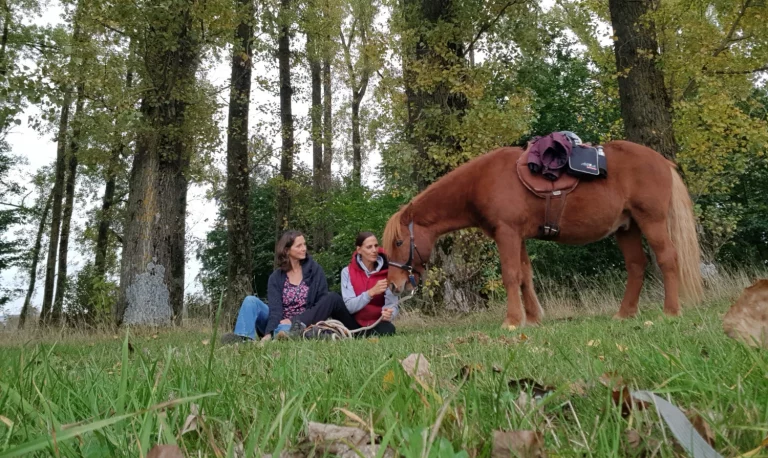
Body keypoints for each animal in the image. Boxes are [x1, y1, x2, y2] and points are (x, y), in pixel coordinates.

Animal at [382, 140, 704, 329]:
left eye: (399, 242)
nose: (395, 285)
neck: (481, 181)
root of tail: (663, 162)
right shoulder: (518, 236)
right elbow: (525, 275)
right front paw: (534, 318)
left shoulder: (508, 234)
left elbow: (511, 275)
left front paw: (513, 321)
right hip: (626, 228)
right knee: (637, 266)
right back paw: (624, 314)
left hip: (652, 221)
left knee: (667, 259)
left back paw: (670, 311)